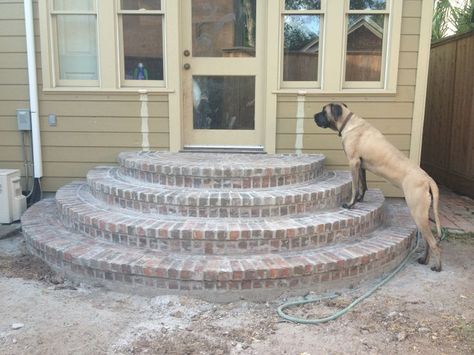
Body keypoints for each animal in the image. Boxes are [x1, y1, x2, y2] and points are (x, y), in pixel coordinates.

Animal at [312, 103, 442, 272]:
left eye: (323, 111)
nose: (313, 116)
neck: (348, 122)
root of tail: (427, 179)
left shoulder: (353, 162)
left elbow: (355, 186)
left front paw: (351, 204)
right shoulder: (361, 165)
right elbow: (363, 185)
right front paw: (360, 199)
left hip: (417, 212)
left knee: (434, 243)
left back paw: (437, 266)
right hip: (423, 214)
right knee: (428, 240)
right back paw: (424, 260)